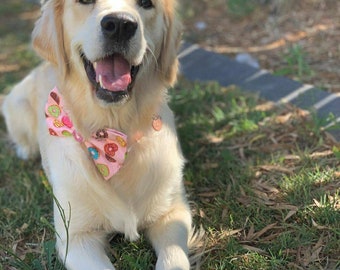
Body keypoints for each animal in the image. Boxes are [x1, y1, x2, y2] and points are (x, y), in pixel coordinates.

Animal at [1, 0, 197, 270]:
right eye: (84, 2)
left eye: (147, 3)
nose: (120, 25)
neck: (113, 132)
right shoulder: (76, 237)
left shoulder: (173, 213)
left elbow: (173, 259)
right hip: (16, 103)